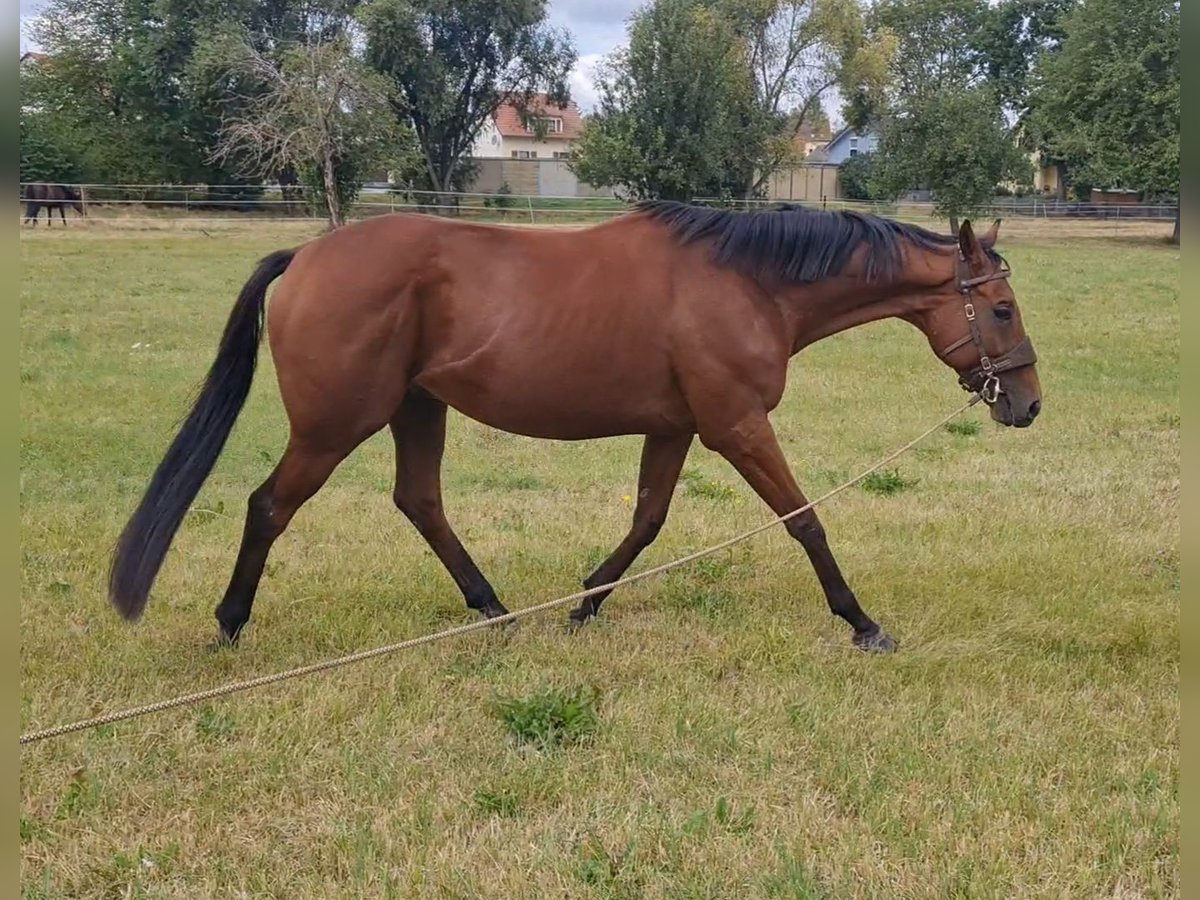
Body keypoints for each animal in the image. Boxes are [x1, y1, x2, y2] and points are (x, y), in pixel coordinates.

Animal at [105, 202, 1041, 657]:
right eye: (1000, 307)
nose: (1027, 404)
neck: (749, 282)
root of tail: (304, 255)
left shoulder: (679, 427)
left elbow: (648, 521)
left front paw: (586, 605)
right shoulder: (736, 424)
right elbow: (804, 519)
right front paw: (862, 624)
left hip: (417, 408)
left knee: (420, 503)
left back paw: (494, 612)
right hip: (338, 425)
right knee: (270, 506)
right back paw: (230, 624)